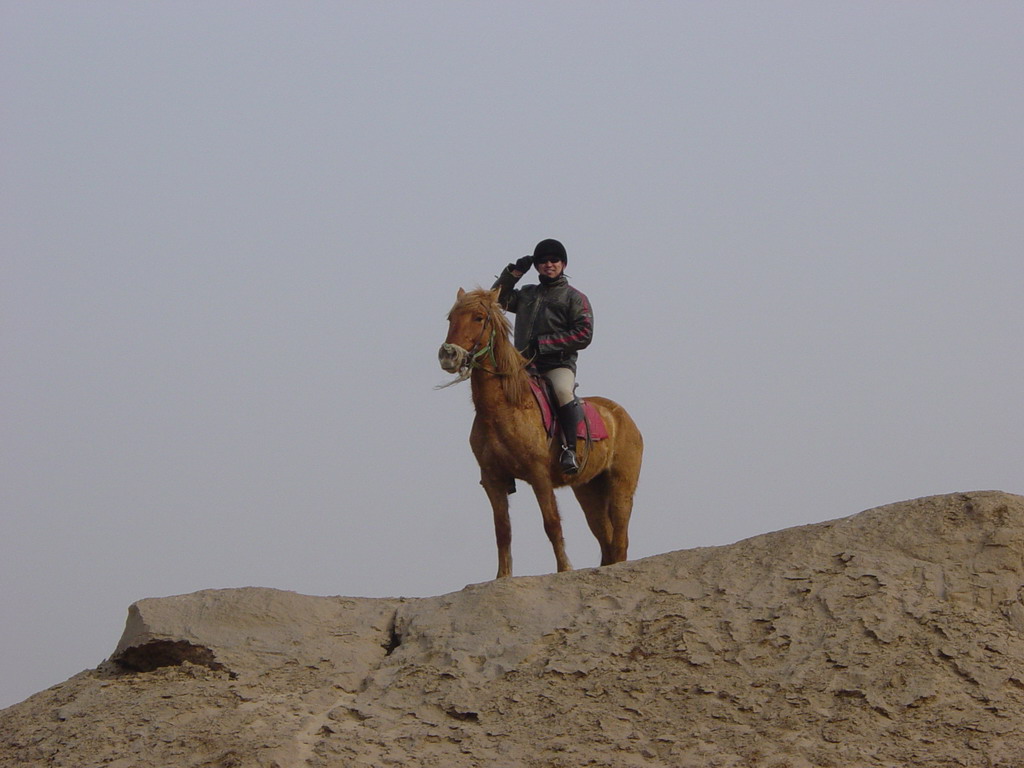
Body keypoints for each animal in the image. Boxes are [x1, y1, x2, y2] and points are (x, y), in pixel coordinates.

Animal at [438, 286, 643, 577]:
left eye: (478, 318)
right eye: (451, 318)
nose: (448, 355)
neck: (504, 406)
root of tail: (622, 416)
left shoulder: (539, 474)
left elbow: (551, 522)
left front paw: (564, 568)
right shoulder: (492, 478)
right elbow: (503, 529)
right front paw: (503, 576)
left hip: (621, 487)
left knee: (620, 539)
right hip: (588, 490)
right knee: (605, 537)